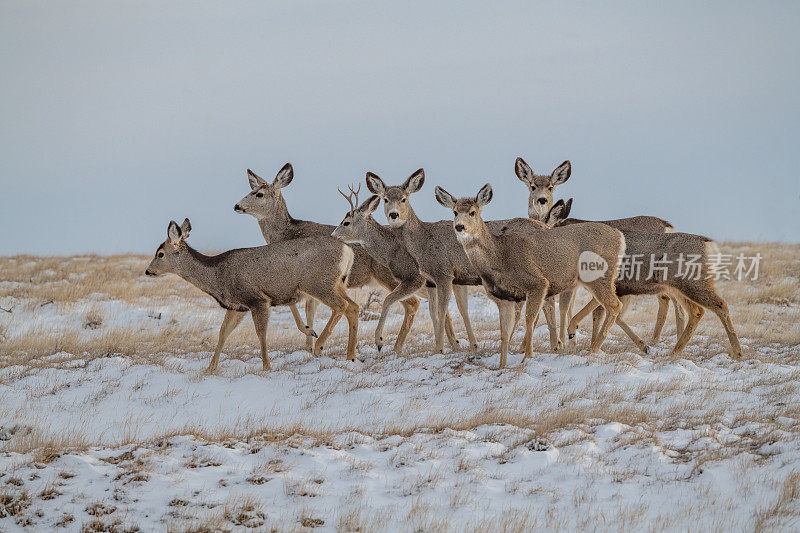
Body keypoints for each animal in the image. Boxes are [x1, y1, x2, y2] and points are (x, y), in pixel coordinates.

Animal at [145, 216, 360, 370]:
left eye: (160, 254)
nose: (148, 271)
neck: (217, 275)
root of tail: (348, 251)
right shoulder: (237, 306)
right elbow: (223, 333)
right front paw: (210, 368)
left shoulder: (257, 298)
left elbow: (261, 332)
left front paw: (266, 366)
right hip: (338, 283)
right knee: (353, 307)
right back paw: (350, 356)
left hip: (319, 283)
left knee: (342, 305)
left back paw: (319, 346)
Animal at [234, 162, 422, 354]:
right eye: (252, 189)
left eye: (259, 194)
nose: (237, 206)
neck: (286, 234)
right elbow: (310, 311)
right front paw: (309, 344)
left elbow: (296, 306)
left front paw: (310, 335)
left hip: (390, 276)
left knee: (412, 303)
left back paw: (391, 346)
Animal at [434, 183, 628, 366]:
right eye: (454, 212)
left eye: (473, 212)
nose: (459, 227)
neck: (499, 257)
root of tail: (620, 238)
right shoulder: (503, 298)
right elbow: (504, 333)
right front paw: (502, 365)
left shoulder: (537, 283)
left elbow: (529, 320)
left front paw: (527, 357)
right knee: (606, 300)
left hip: (598, 274)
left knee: (614, 305)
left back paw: (593, 349)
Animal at [512, 154, 688, 348]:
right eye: (532, 186)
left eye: (551, 187)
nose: (541, 200)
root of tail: (668, 226)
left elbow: (563, 307)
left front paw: (562, 343)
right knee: (667, 300)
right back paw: (657, 341)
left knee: (673, 302)